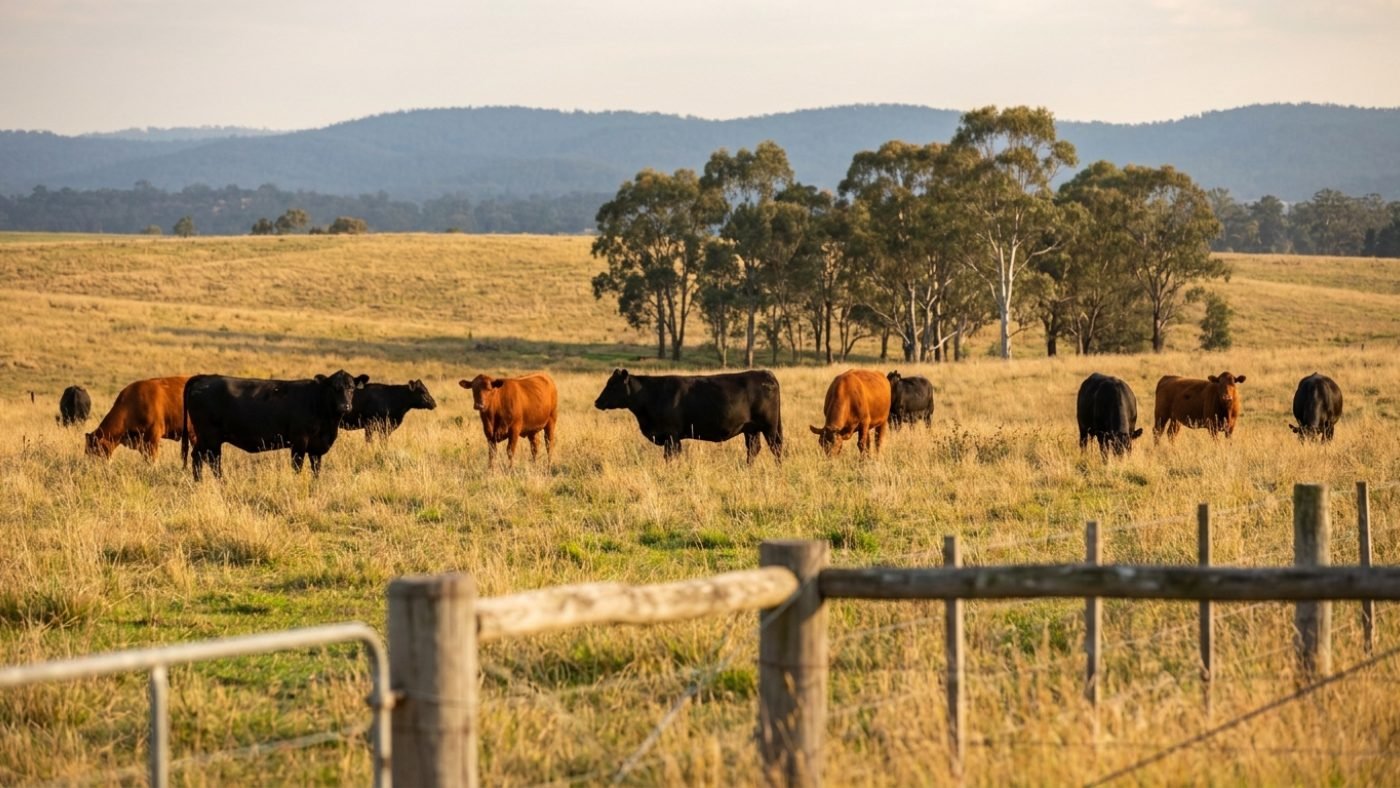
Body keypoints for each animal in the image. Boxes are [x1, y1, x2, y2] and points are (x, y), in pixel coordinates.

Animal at [183, 370, 368, 481]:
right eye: (334, 388)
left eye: (351, 388)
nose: (345, 406)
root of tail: (205, 377)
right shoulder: (299, 441)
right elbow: (297, 466)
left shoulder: (316, 447)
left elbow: (316, 469)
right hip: (210, 437)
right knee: (213, 461)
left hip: (204, 438)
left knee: (197, 457)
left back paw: (198, 483)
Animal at [593, 369, 782, 463]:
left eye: (613, 385)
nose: (597, 402)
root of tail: (766, 374)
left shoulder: (671, 436)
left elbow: (671, 457)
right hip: (751, 430)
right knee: (753, 449)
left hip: (770, 427)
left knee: (776, 448)